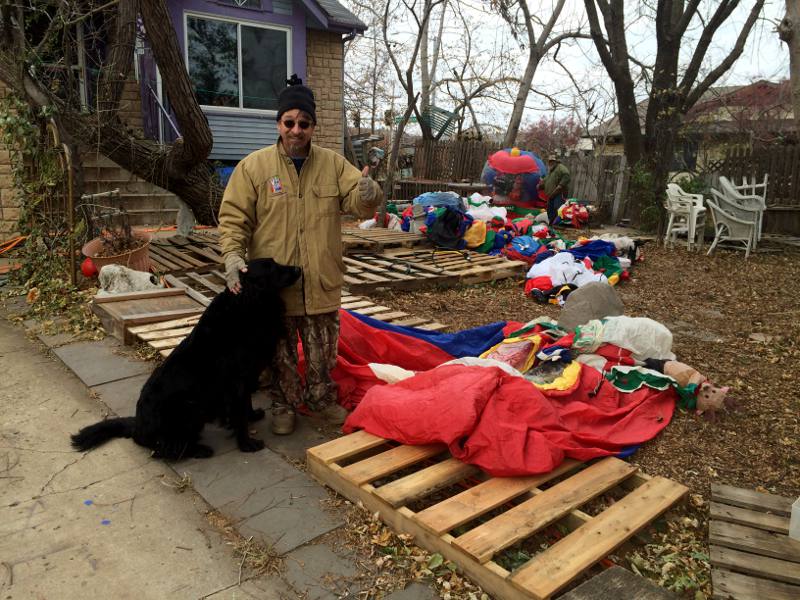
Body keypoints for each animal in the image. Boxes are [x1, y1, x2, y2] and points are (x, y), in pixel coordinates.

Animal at [70, 258, 302, 460]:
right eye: (272, 267)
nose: (299, 268)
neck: (245, 305)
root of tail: (138, 427)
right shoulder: (237, 381)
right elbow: (239, 413)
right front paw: (246, 443)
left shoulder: (247, 376)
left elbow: (246, 404)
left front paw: (252, 415)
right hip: (188, 407)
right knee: (166, 450)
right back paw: (200, 450)